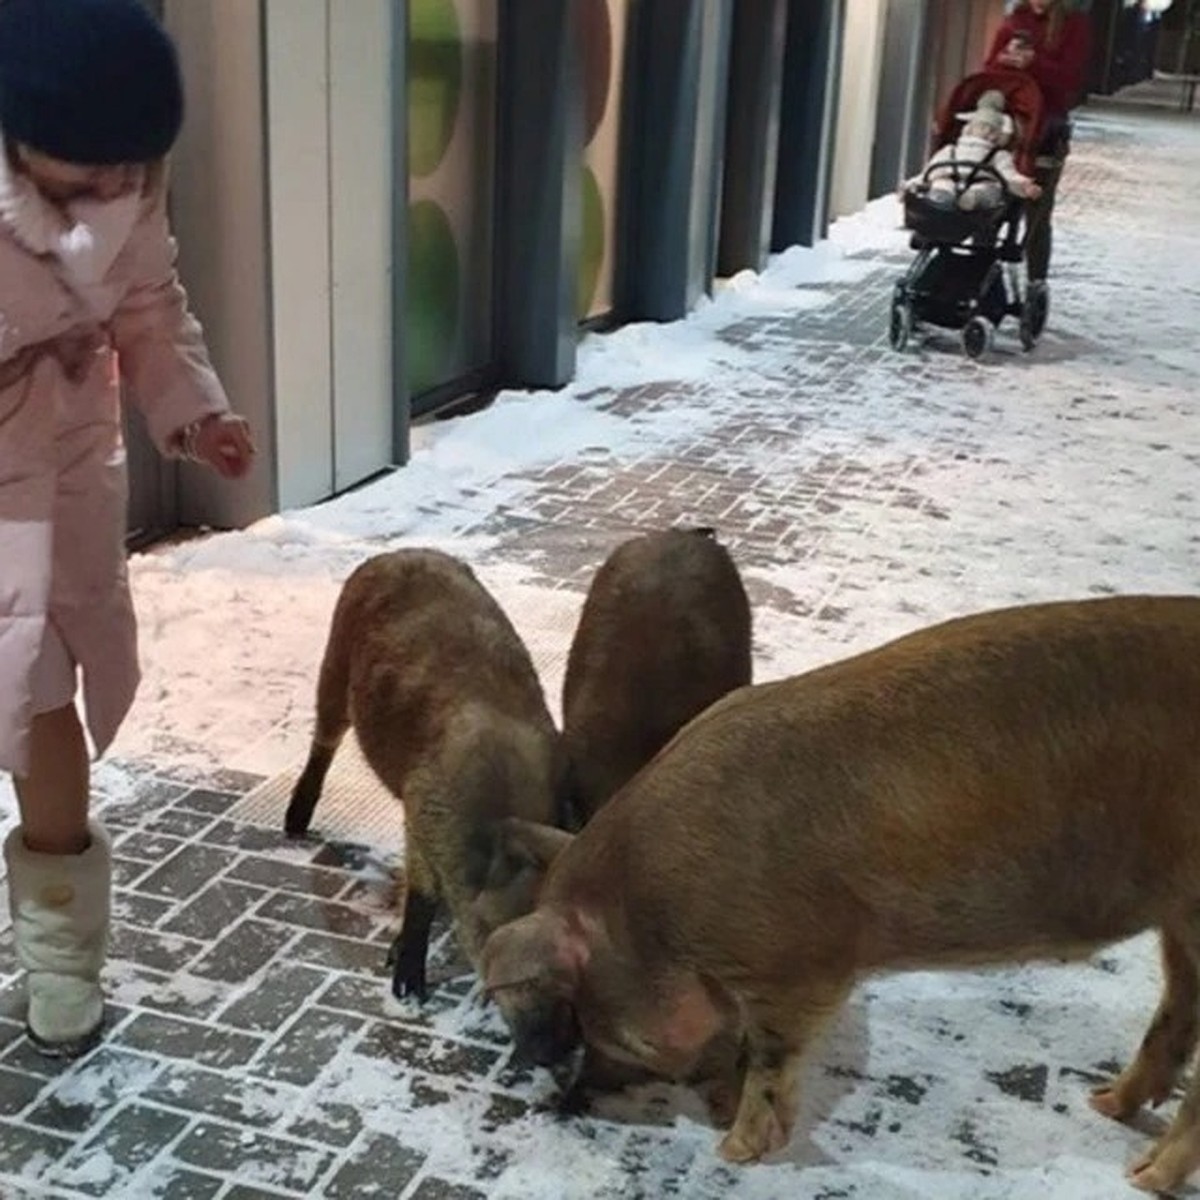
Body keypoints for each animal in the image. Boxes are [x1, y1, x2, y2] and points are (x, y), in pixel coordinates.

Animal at [288, 549, 573, 998]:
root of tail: (395, 554)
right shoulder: (423, 806)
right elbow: (421, 894)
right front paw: (406, 987)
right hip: (333, 666)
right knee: (324, 740)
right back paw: (294, 825)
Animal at [477, 595, 1200, 1195]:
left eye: (599, 1018)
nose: (571, 1093)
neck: (658, 911)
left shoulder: (799, 965)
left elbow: (773, 1058)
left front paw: (733, 1151)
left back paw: (1143, 1177)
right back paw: (1103, 1104)